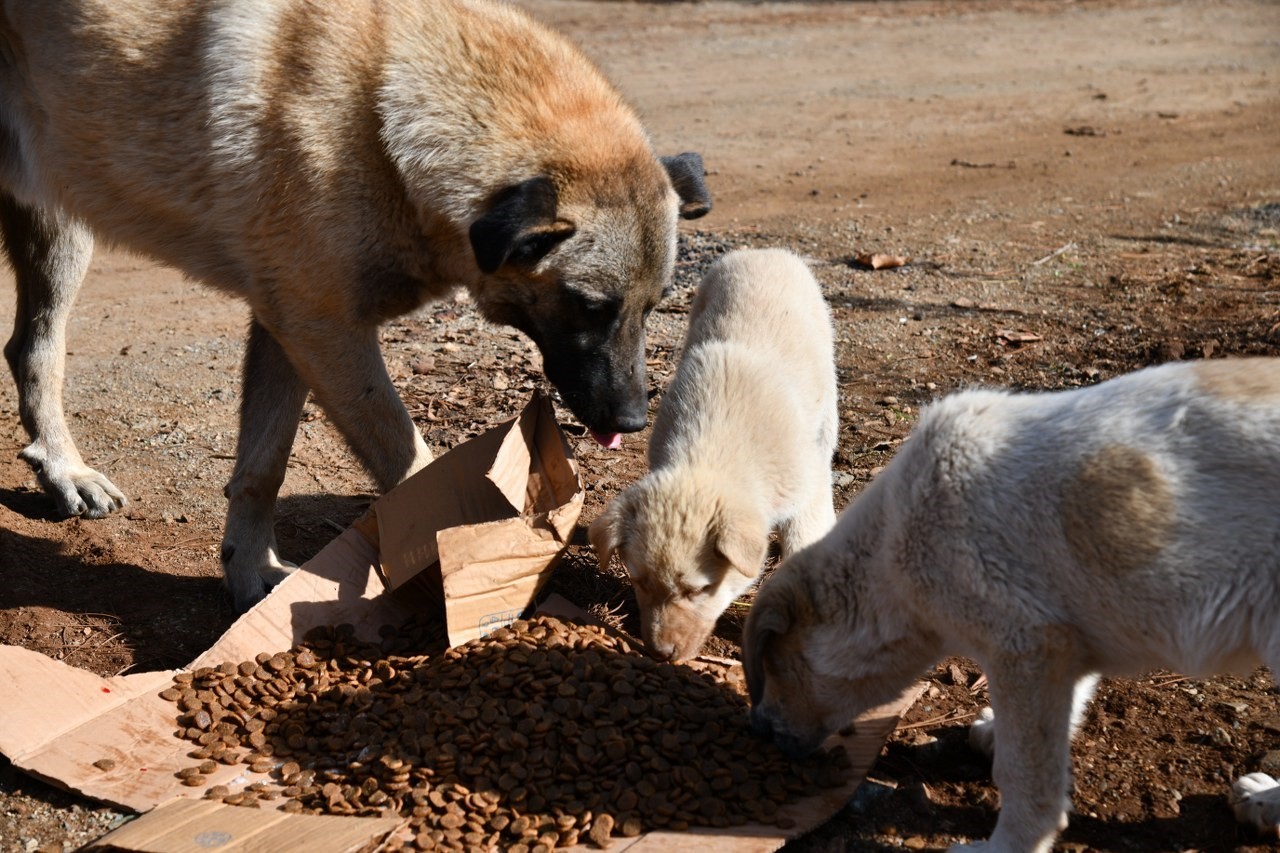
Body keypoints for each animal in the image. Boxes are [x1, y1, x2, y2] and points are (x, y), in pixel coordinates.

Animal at [0, 1, 711, 612]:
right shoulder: (323, 330)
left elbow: (262, 467)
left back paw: (63, 471)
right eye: (589, 306)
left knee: (30, 348)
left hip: (60, 228)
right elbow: (415, 463)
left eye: (654, 307)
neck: (379, 113)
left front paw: (248, 572)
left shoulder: (288, 330)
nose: (633, 419)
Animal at [588, 245, 839, 655]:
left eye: (700, 589)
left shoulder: (806, 493)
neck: (712, 448)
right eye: (639, 582)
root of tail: (765, 251)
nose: (660, 654)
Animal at [742, 358, 1280, 850]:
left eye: (772, 669)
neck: (893, 550)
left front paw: (1007, 845)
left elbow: (1025, 778)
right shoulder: (1060, 648)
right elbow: (1052, 726)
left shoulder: (1025, 649)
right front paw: (995, 730)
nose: (758, 731)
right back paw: (1264, 801)